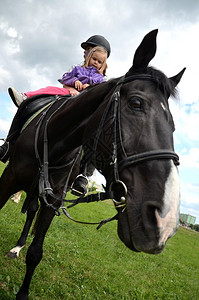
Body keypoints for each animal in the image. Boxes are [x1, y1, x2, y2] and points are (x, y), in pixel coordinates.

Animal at [0, 28, 184, 300]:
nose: (165, 220)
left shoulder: (54, 198)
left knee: (32, 210)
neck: (53, 143)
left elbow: (36, 252)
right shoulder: (8, 179)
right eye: (136, 103)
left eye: (172, 125)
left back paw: (19, 246)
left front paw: (23, 291)